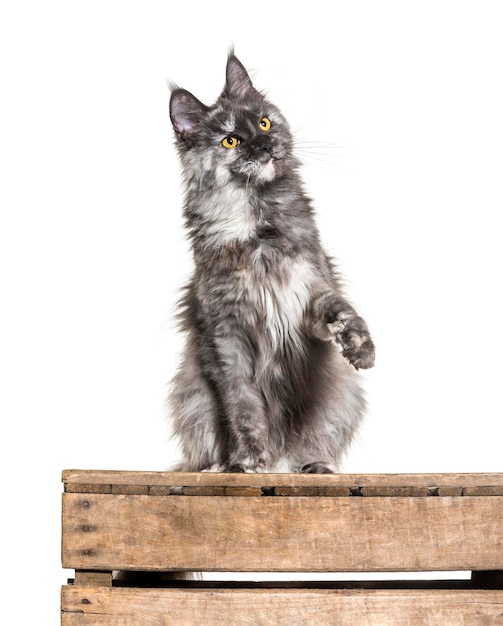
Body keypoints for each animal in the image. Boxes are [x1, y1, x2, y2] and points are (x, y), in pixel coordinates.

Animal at [168, 52, 374, 472]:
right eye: (231, 139)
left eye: (263, 122)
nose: (264, 145)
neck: (259, 231)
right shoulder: (226, 336)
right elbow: (242, 407)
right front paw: (248, 461)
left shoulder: (308, 294)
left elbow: (341, 310)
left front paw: (361, 346)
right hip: (191, 398)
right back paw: (220, 467)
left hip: (343, 399)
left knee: (311, 448)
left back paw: (315, 468)